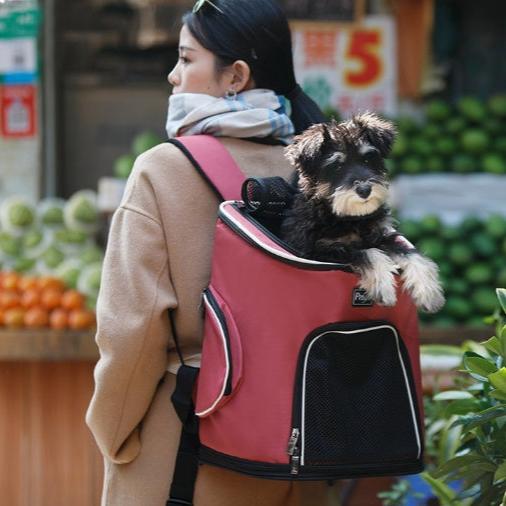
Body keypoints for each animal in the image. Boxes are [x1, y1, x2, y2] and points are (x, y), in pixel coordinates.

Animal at [282, 112, 444, 312]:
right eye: (337, 166)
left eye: (367, 159)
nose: (365, 189)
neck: (350, 218)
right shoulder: (318, 252)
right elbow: (367, 253)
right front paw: (384, 287)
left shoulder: (381, 234)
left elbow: (408, 252)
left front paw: (428, 291)